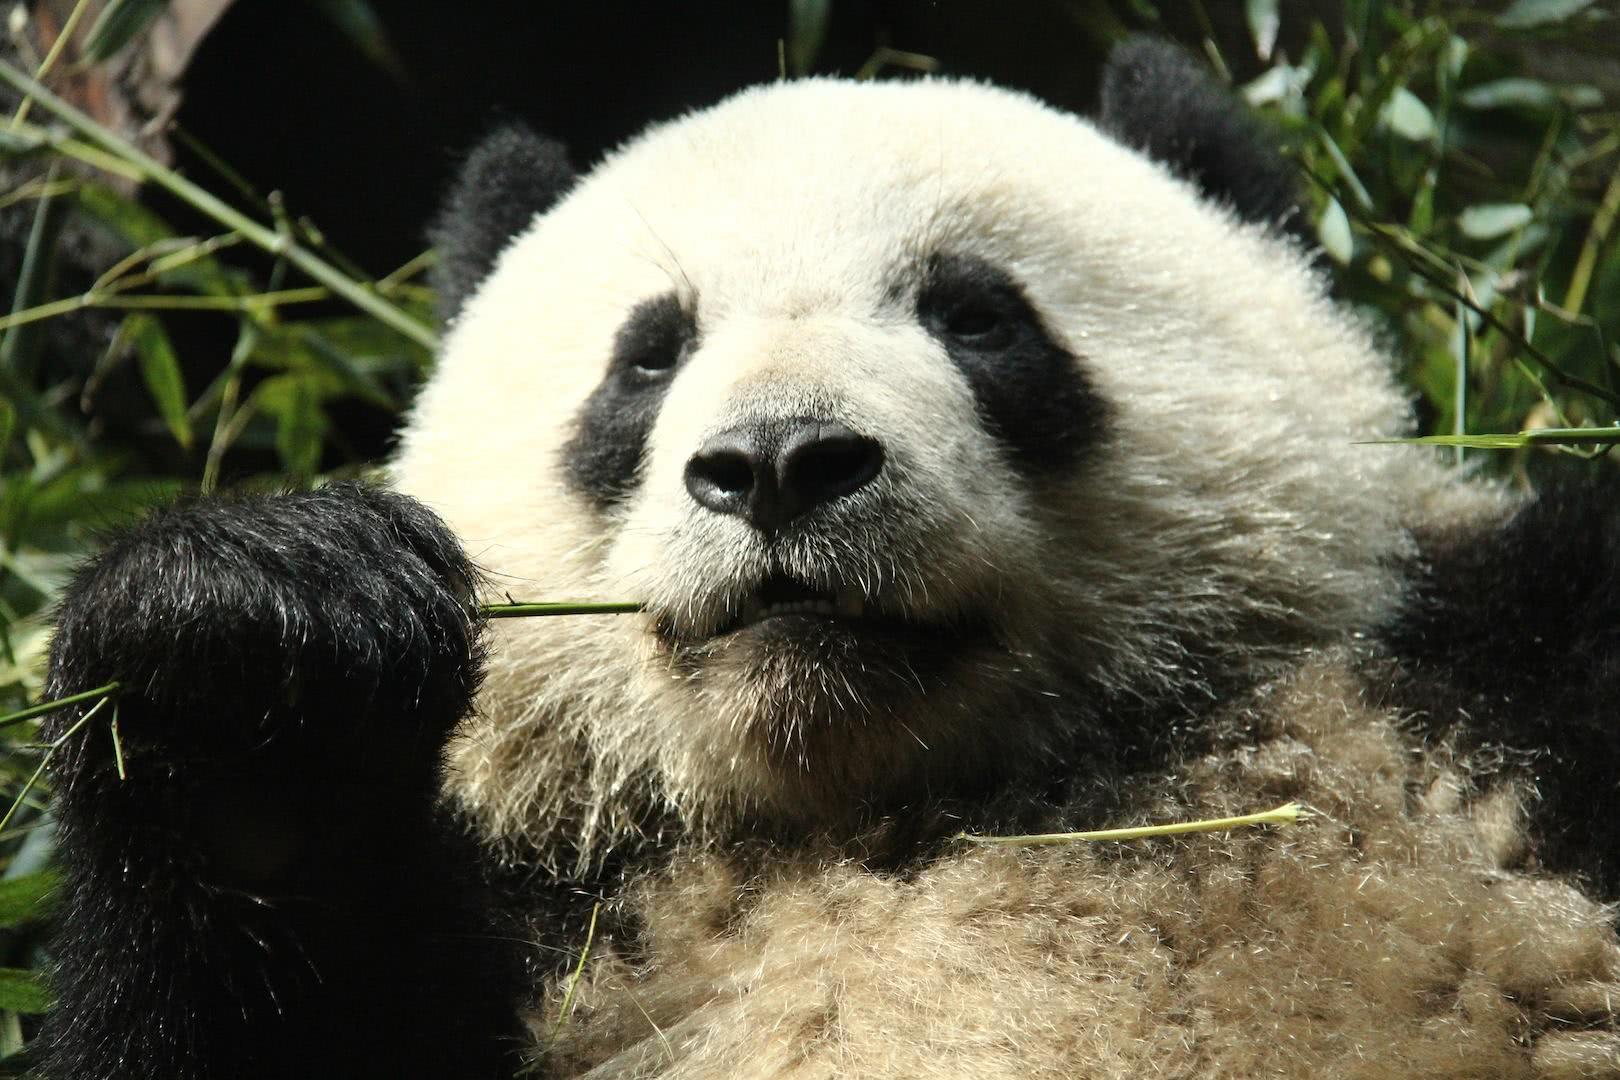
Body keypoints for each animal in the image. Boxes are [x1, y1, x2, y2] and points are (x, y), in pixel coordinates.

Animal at [31, 38, 1620, 1075]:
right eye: (648, 355)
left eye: (977, 316)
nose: (781, 464)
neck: (876, 816)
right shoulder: (549, 911)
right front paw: (256, 637)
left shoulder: (1480, 680)